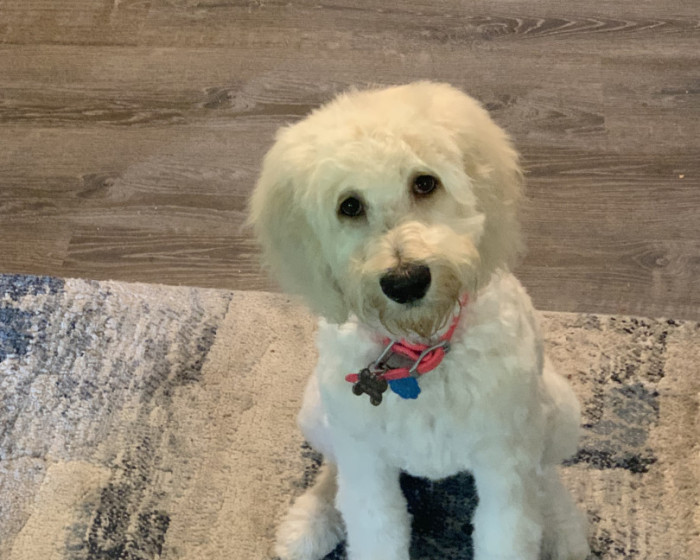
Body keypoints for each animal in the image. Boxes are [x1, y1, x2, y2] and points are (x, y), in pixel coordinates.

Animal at [249, 82, 589, 560]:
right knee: (335, 472)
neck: (421, 353)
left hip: (557, 409)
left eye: (425, 183)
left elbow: (510, 526)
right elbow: (374, 529)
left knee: (544, 473)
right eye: (349, 206)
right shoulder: (369, 472)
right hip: (318, 413)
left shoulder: (503, 468)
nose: (406, 281)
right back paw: (313, 517)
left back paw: (562, 526)